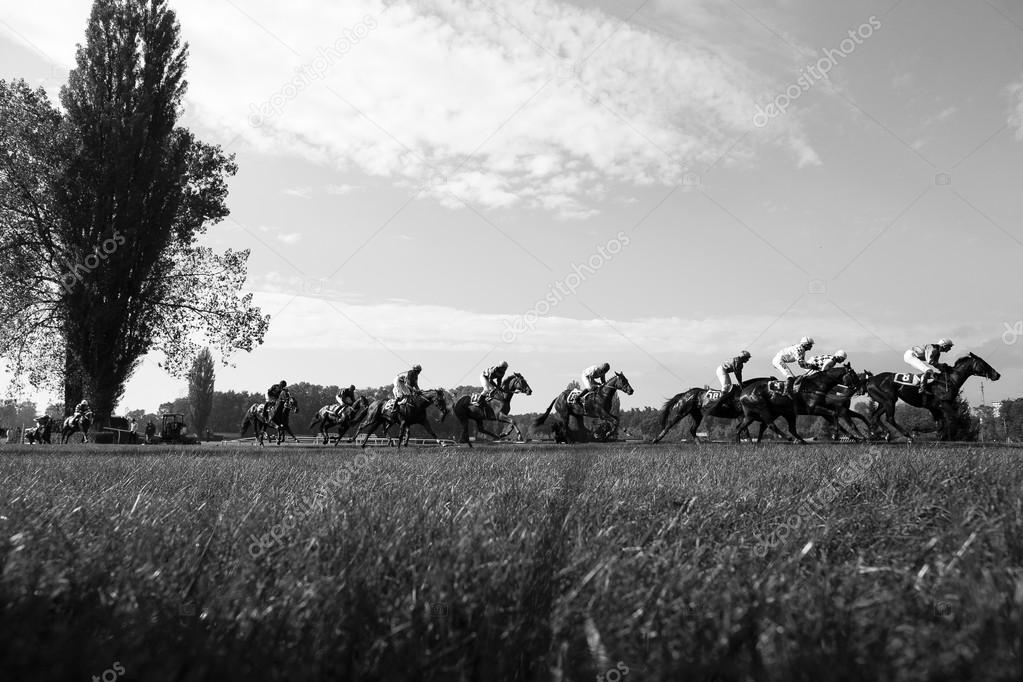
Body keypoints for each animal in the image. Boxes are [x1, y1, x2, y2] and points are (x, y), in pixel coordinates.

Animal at [863, 351, 998, 443]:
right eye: (983, 363)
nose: (997, 375)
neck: (948, 380)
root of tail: (870, 379)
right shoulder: (942, 404)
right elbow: (952, 419)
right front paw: (920, 431)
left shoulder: (933, 407)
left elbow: (940, 423)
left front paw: (932, 433)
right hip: (889, 400)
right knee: (889, 418)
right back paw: (907, 435)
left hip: (883, 401)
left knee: (875, 416)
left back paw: (884, 434)